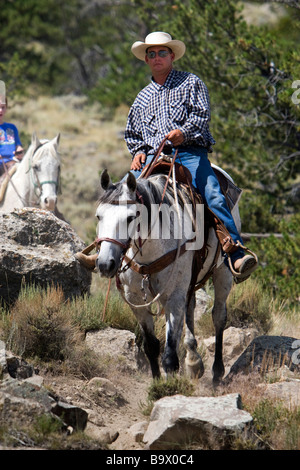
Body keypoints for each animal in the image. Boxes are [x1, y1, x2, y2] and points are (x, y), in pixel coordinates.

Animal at [95, 171, 240, 384]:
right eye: (99, 216)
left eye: (130, 217)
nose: (105, 264)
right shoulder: (136, 300)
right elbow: (151, 346)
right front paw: (157, 384)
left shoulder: (173, 297)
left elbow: (170, 355)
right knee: (190, 309)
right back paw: (193, 362)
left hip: (223, 273)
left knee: (218, 316)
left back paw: (217, 372)